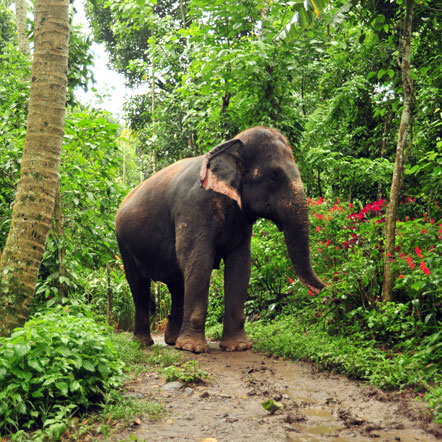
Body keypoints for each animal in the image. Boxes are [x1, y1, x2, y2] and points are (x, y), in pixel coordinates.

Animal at [115, 126, 324, 354]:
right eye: (273, 176)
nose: (328, 288)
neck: (231, 144)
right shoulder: (194, 208)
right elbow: (199, 261)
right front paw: (194, 348)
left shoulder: (241, 219)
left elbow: (240, 266)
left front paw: (238, 346)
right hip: (122, 242)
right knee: (139, 286)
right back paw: (144, 343)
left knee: (176, 283)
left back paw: (172, 341)